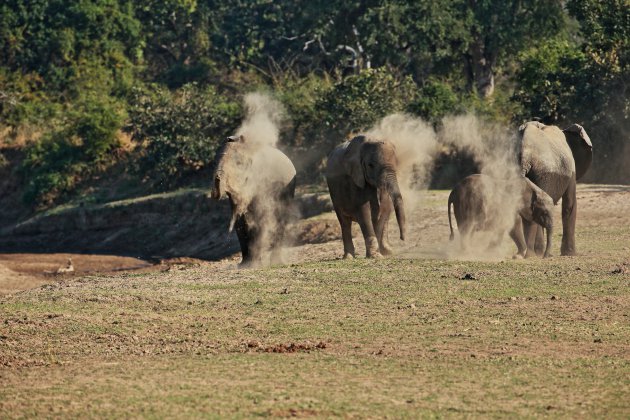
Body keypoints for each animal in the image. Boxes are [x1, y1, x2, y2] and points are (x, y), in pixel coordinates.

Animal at [209, 135, 296, 266]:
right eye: (214, 162)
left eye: (239, 164)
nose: (218, 177)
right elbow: (241, 220)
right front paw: (244, 266)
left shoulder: (261, 181)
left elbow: (259, 216)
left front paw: (253, 265)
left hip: (288, 189)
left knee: (280, 217)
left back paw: (276, 262)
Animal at [520, 121, 592, 256]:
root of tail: (524, 155)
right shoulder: (571, 170)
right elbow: (570, 204)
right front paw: (571, 254)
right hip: (545, 172)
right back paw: (538, 253)